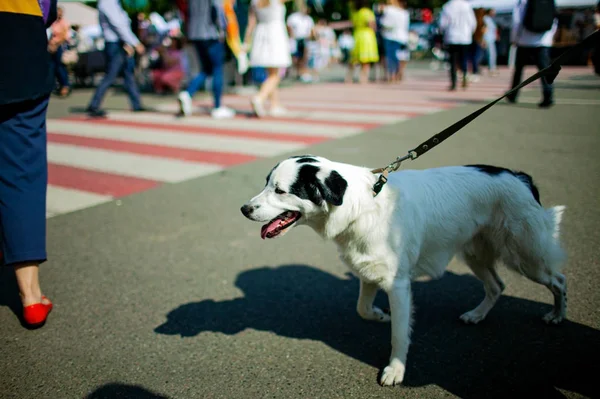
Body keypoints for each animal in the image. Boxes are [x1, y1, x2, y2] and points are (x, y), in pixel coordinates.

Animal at [240, 156, 568, 388]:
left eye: (280, 191)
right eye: (266, 184)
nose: (244, 209)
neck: (362, 205)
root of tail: (519, 176)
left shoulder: (398, 285)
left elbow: (399, 334)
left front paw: (396, 370)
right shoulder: (368, 270)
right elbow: (361, 308)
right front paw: (379, 315)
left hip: (526, 255)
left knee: (559, 280)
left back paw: (557, 315)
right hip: (475, 253)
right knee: (497, 285)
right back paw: (477, 315)